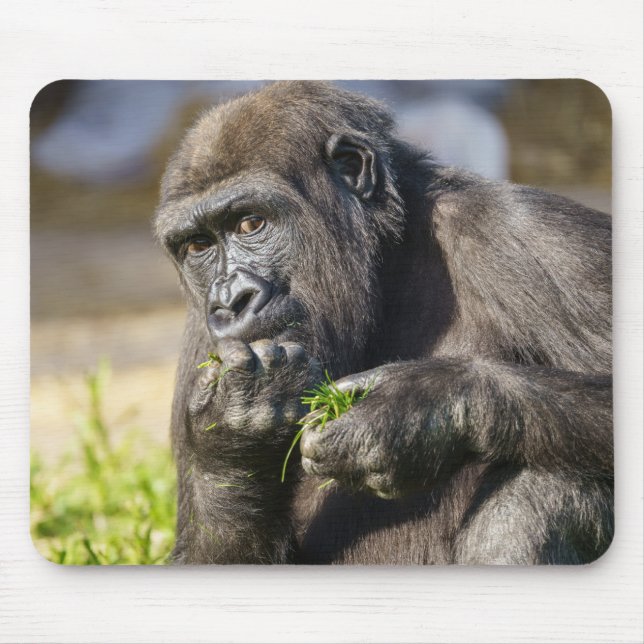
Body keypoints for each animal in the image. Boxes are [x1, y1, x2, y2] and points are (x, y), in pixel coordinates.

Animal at [154, 81, 612, 564]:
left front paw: (414, 408)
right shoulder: (197, 340)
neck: (385, 264)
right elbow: (208, 552)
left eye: (250, 223)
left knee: (542, 491)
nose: (230, 301)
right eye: (198, 245)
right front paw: (231, 437)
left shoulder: (527, 233)